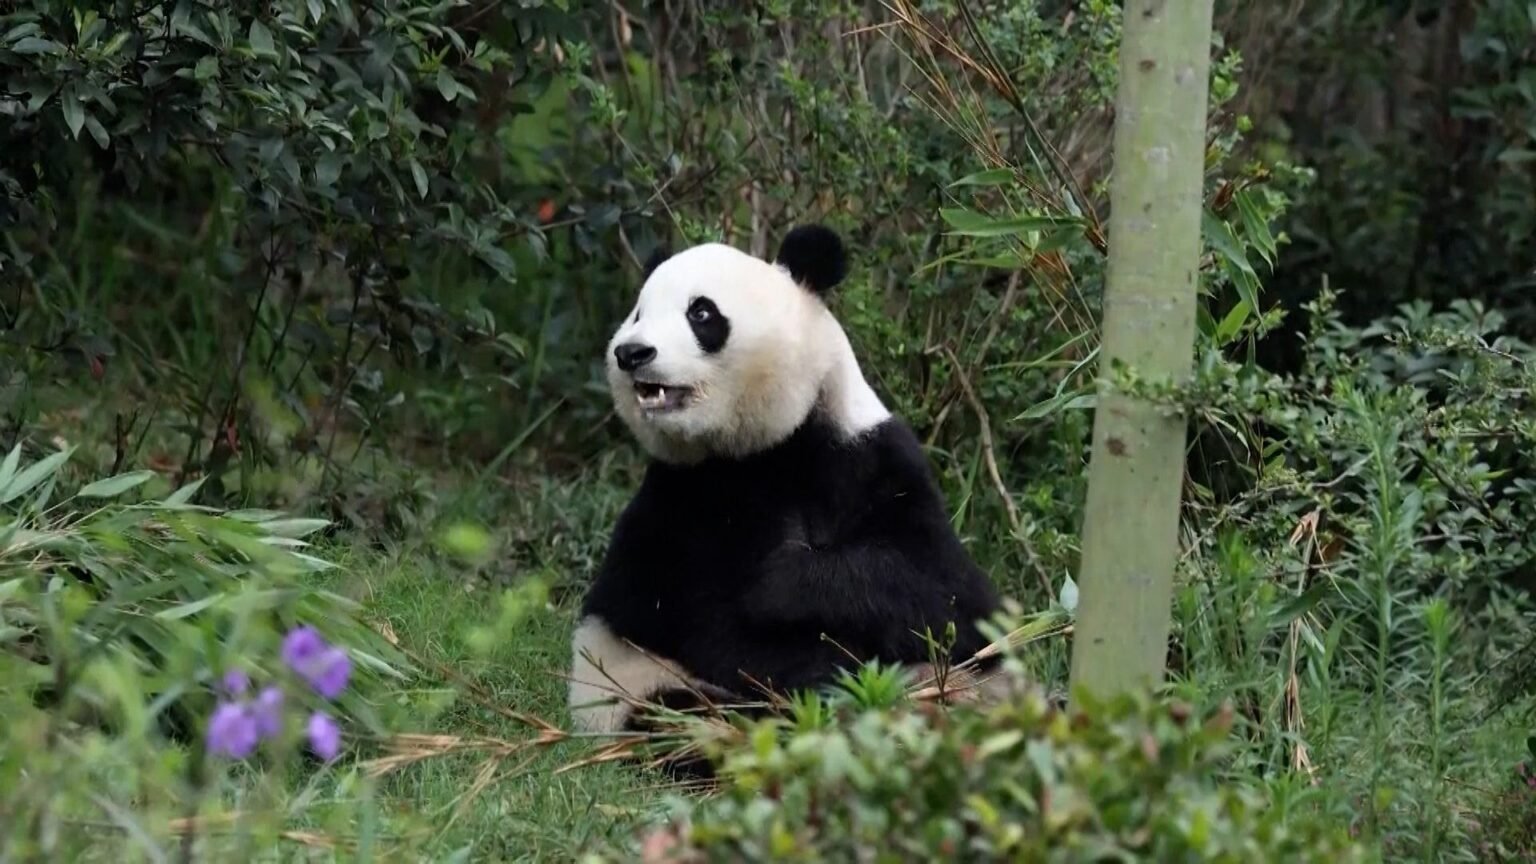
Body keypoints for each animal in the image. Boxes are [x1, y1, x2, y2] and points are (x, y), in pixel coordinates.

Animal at [567, 224, 1006, 753]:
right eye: (639, 312)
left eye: (701, 312)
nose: (631, 353)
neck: (770, 448)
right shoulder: (686, 503)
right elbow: (721, 634)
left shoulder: (869, 459)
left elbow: (950, 598)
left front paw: (785, 582)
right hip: (633, 684)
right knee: (690, 718)